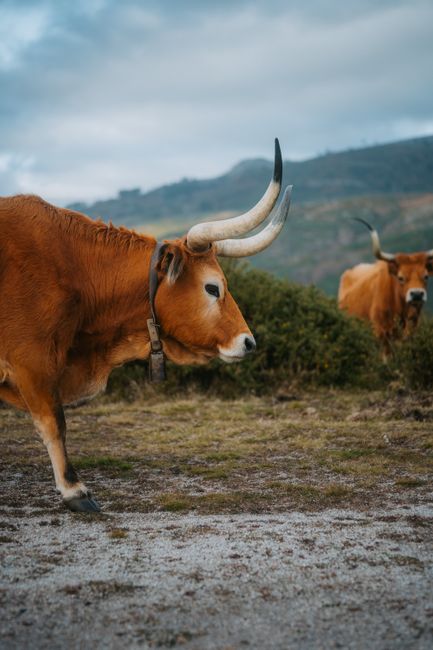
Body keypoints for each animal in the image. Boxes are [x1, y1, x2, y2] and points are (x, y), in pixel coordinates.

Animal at [0, 140, 292, 512]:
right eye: (213, 287)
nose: (248, 342)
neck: (75, 268)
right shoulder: (33, 361)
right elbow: (54, 422)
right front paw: (74, 490)